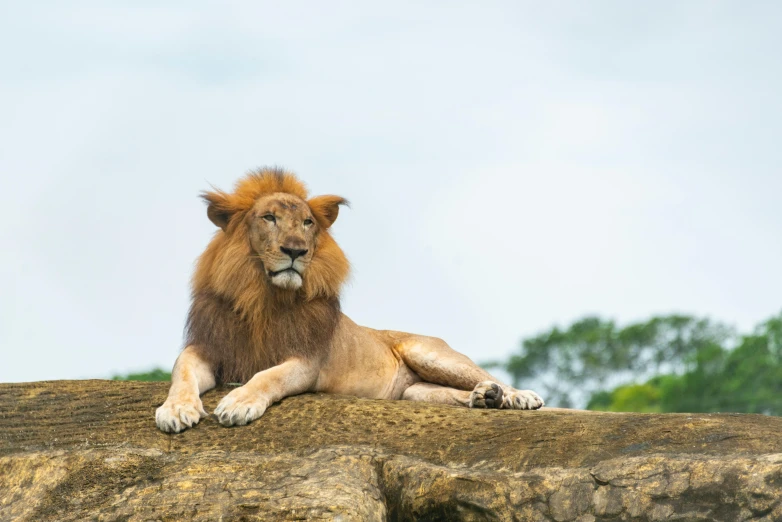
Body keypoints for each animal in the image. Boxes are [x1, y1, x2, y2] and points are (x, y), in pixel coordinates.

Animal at [155, 167, 544, 430]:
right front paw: (175, 410)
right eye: (268, 217)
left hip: (428, 352)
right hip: (414, 393)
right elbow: (182, 372)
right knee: (446, 393)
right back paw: (484, 397)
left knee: (485, 374)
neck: (262, 296)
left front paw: (238, 402)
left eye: (307, 223)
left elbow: (268, 376)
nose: (295, 251)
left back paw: (516, 395)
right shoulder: (208, 347)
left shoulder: (306, 361)